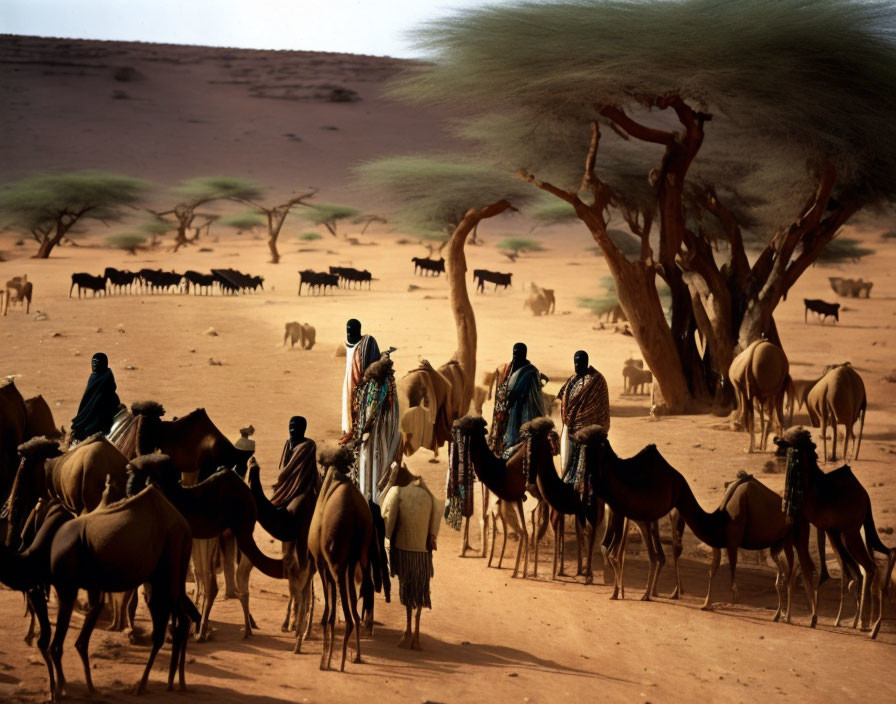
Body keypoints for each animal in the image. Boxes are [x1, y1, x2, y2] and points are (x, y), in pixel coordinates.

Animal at [0, 486, 198, 700]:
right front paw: (84, 686)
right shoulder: (92, 586)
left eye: (33, 511)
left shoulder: (66, 586)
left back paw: (145, 685)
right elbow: (80, 639)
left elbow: (57, 645)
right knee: (176, 621)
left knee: (171, 624)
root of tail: (185, 527)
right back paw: (175, 682)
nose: (20, 535)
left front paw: (60, 689)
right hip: (167, 571)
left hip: (171, 559)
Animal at [308, 448, 374, 672]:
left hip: (337, 562)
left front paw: (324, 658)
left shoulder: (321, 562)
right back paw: (356, 656)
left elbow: (329, 608)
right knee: (357, 608)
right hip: (360, 557)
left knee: (347, 615)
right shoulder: (345, 563)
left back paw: (333, 662)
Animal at [772, 428, 892, 640]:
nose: (777, 443)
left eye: (791, 444)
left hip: (850, 532)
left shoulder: (802, 522)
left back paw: (871, 626)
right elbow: (800, 567)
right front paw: (795, 616)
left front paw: (809, 617)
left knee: (870, 566)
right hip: (840, 534)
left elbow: (804, 568)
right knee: (863, 568)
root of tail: (865, 497)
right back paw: (857, 622)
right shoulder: (807, 525)